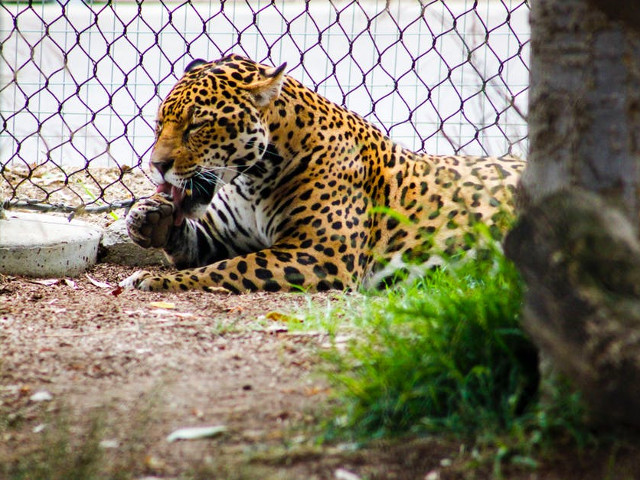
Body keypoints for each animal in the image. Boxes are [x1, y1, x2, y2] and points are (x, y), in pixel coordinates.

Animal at [120, 54, 524, 293]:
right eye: (160, 124)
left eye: (197, 126)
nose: (156, 166)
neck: (252, 180)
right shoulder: (224, 235)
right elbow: (197, 241)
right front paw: (149, 217)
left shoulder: (317, 254)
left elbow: (227, 269)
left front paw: (154, 279)